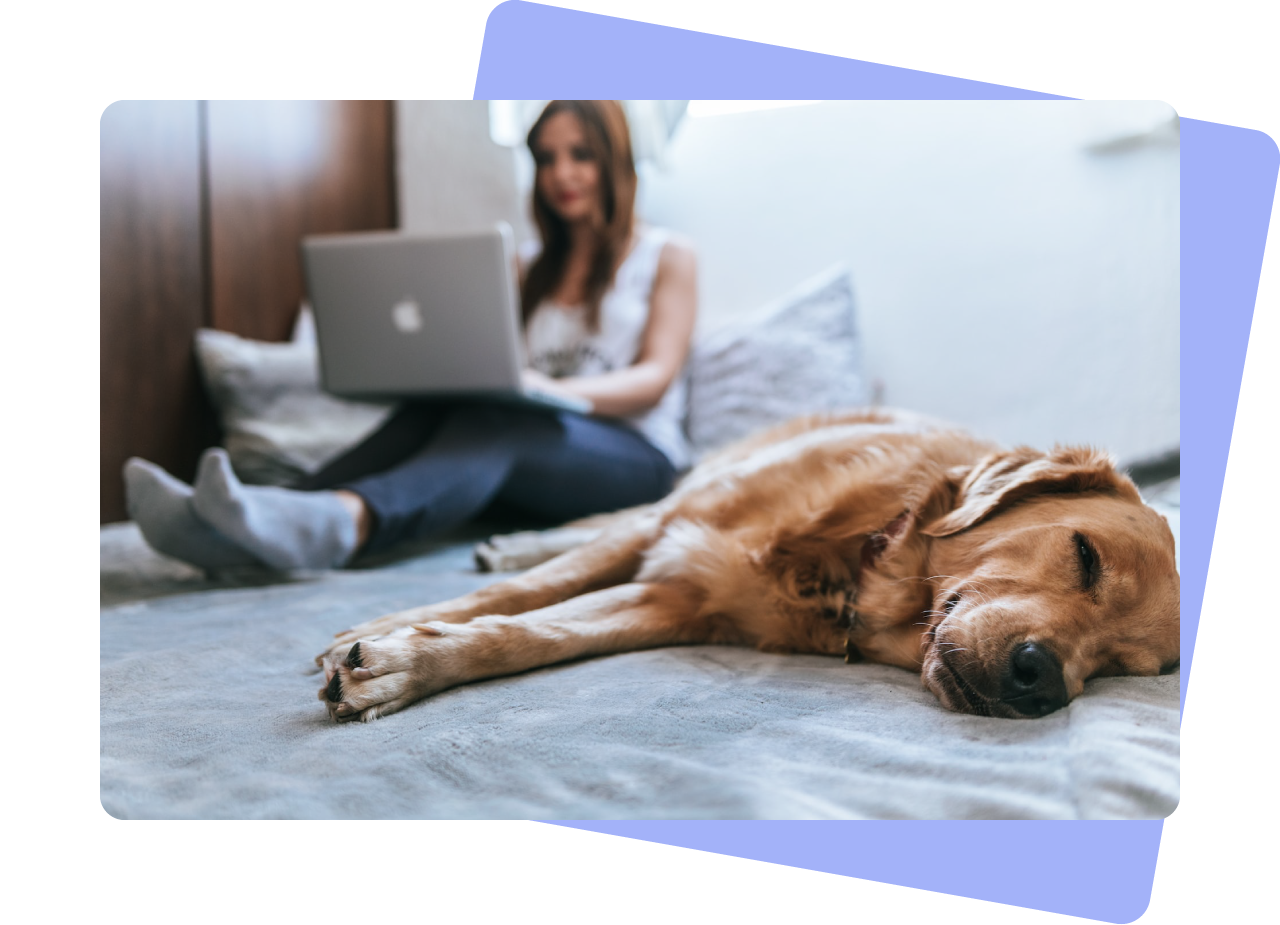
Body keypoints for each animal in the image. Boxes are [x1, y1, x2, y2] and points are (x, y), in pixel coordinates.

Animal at [312, 409, 1177, 721]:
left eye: (1126, 667)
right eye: (1084, 555)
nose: (1042, 680)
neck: (857, 558)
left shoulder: (671, 599)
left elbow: (531, 633)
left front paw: (404, 662)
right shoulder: (672, 530)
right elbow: (528, 591)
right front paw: (389, 630)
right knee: (590, 528)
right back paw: (511, 540)